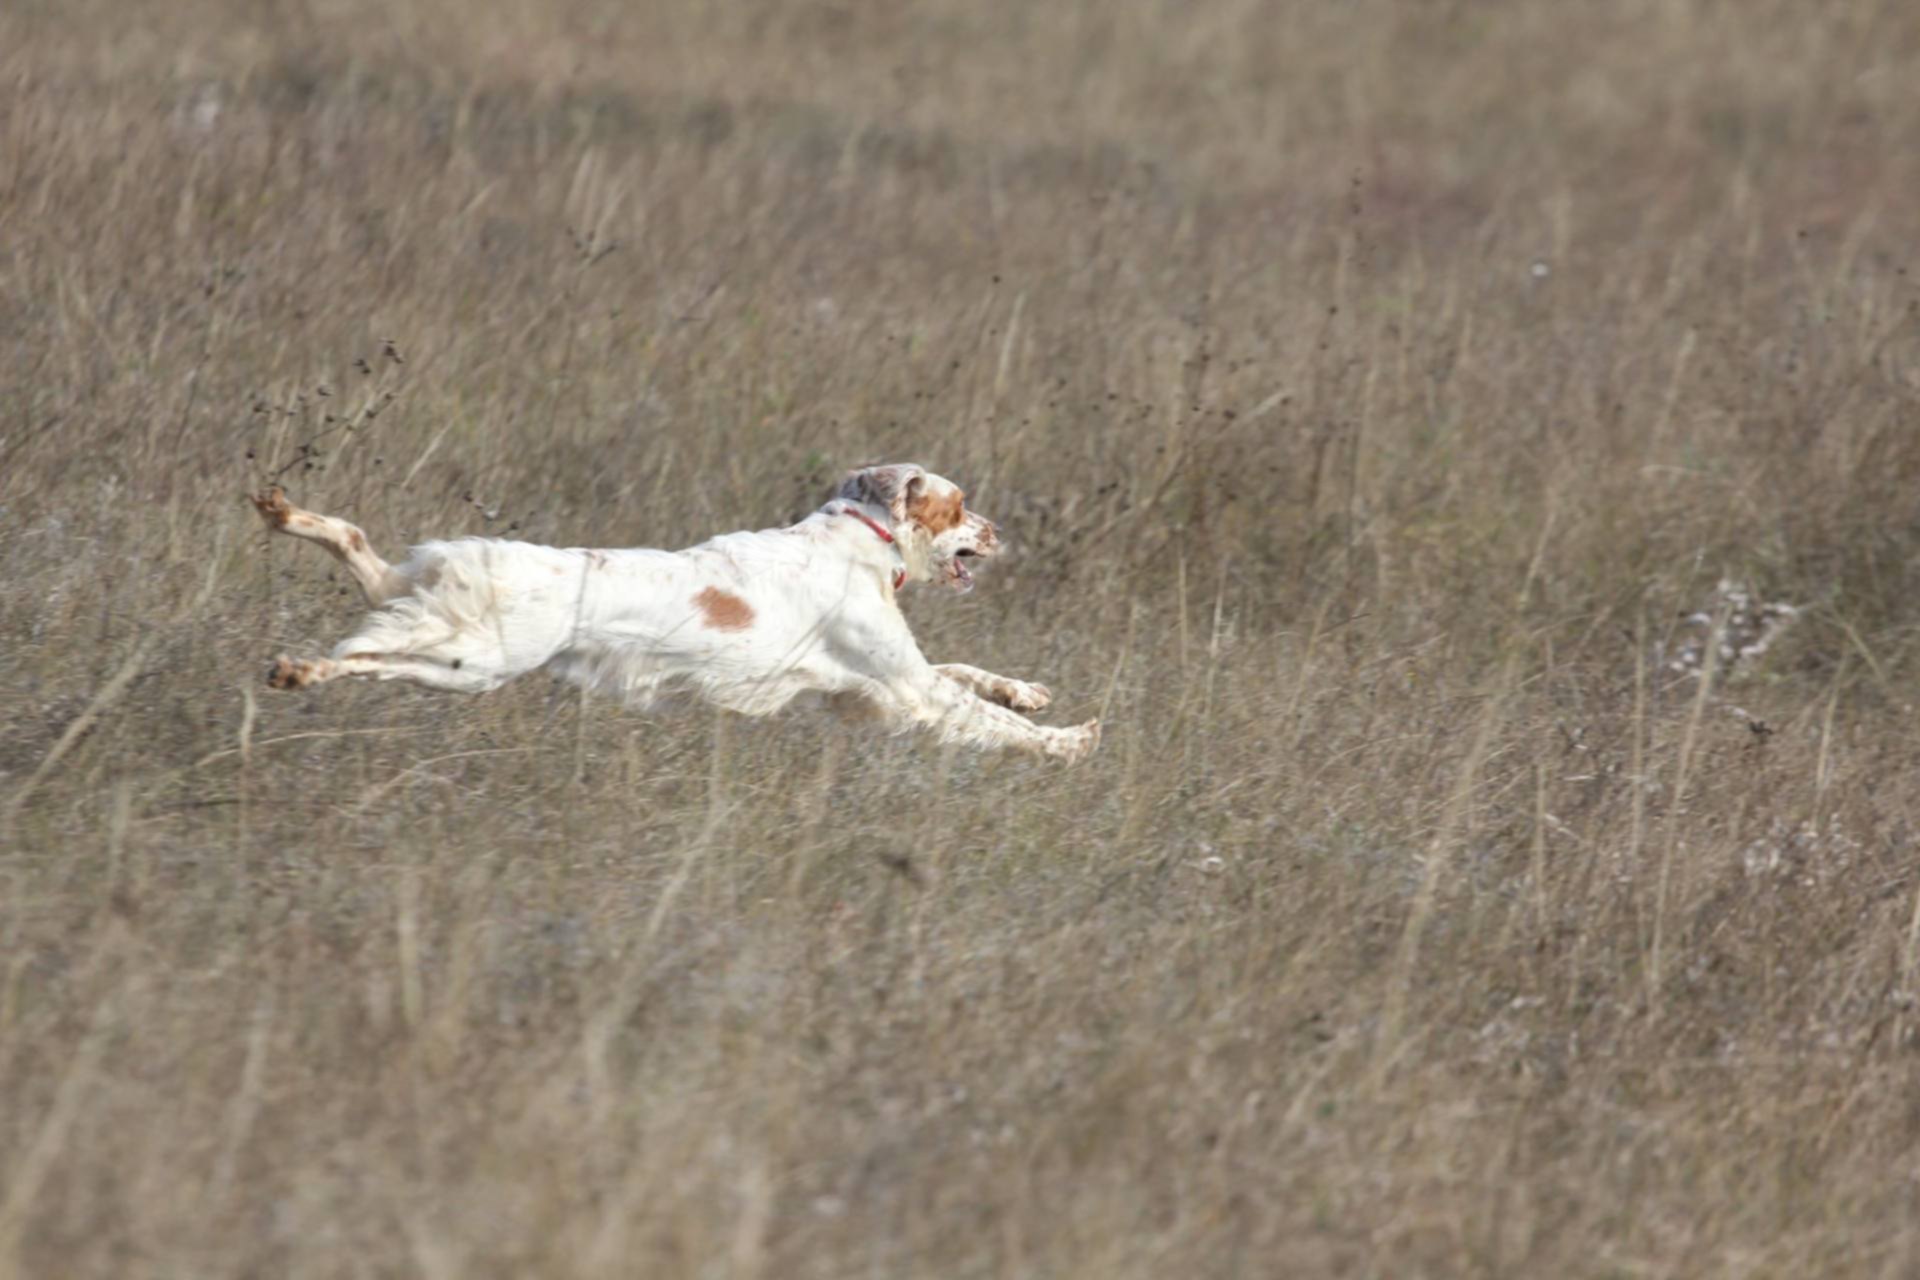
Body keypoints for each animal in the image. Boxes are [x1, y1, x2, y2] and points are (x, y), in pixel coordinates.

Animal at [251, 468, 1098, 759]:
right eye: (959, 504)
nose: (1000, 531)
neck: (860, 534)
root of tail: (480, 559)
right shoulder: (906, 690)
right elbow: (988, 717)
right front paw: (1071, 741)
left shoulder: (869, 692)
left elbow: (974, 676)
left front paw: (1030, 691)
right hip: (474, 659)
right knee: (365, 653)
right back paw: (300, 669)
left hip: (434, 611)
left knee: (361, 556)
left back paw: (284, 511)